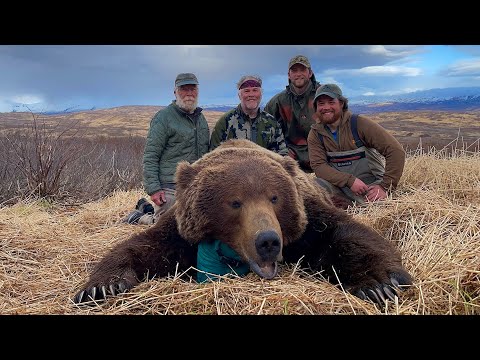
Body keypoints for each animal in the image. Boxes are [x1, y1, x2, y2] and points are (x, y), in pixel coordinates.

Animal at [74, 139, 412, 306]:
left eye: (275, 197)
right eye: (234, 202)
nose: (268, 241)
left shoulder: (309, 219)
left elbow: (344, 234)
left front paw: (379, 285)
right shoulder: (180, 231)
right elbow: (143, 248)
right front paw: (101, 287)